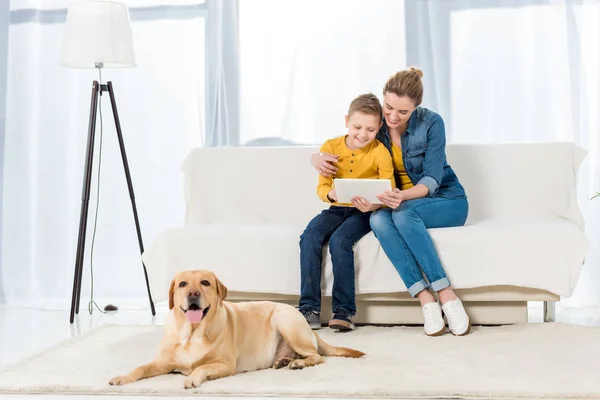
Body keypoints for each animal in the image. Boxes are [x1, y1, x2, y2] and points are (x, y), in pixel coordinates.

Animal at [109, 268, 366, 388]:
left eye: (205, 282)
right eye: (182, 284)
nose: (193, 294)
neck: (191, 333)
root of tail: (303, 320)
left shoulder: (224, 365)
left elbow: (201, 367)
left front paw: (192, 378)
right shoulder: (161, 362)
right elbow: (140, 368)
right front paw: (122, 377)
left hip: (283, 319)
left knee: (317, 357)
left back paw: (297, 363)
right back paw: (284, 360)